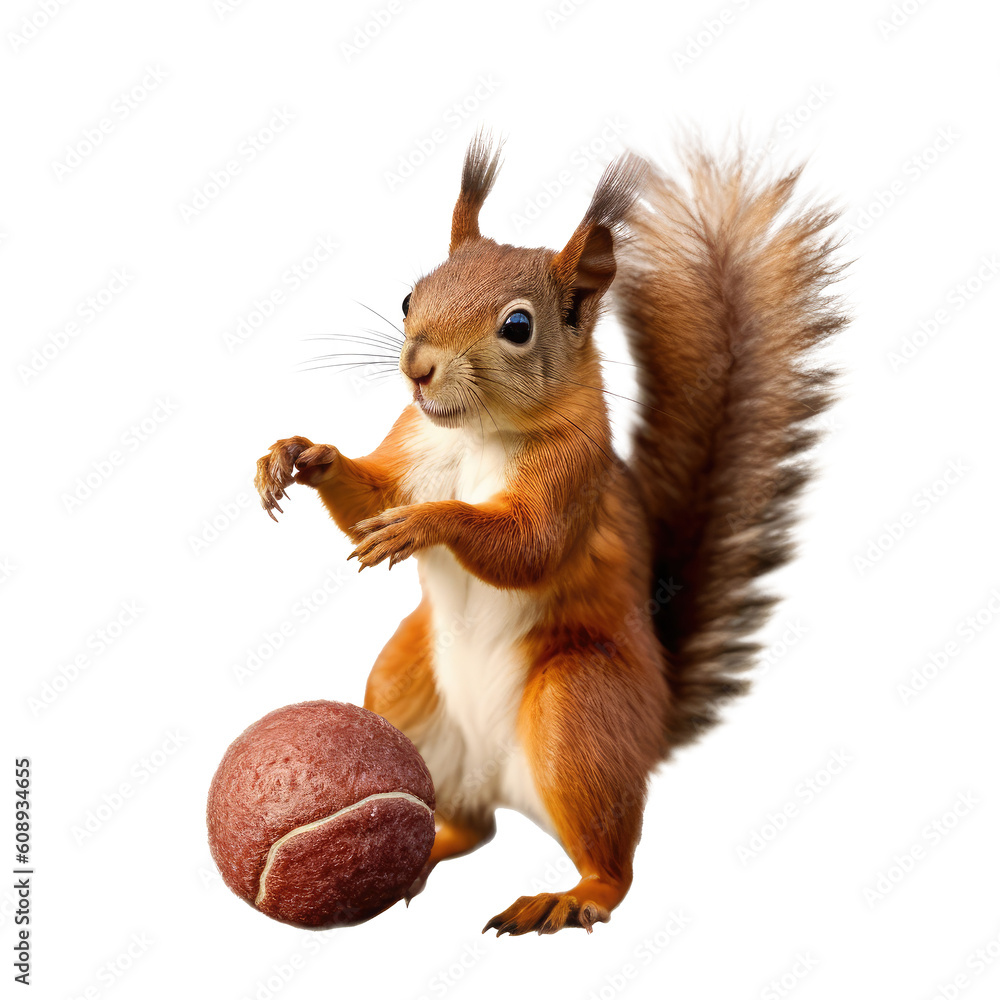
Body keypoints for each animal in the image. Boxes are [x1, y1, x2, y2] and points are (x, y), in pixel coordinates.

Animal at [254, 132, 846, 936]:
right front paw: (300, 455)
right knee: (471, 826)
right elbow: (372, 494)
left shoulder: (573, 477)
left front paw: (427, 524)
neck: (477, 433)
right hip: (403, 689)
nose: (417, 367)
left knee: (611, 863)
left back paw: (570, 895)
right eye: (411, 296)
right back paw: (422, 851)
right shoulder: (412, 444)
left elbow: (527, 548)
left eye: (517, 326)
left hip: (577, 713)